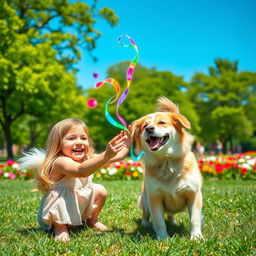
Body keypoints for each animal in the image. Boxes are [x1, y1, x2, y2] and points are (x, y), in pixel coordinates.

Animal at [132, 96, 204, 240]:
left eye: (162, 122)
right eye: (144, 126)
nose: (149, 129)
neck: (166, 160)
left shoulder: (194, 193)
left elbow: (195, 219)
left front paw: (196, 237)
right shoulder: (154, 197)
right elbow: (159, 221)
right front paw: (162, 239)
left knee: (171, 215)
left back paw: (174, 223)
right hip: (144, 199)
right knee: (145, 214)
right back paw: (145, 224)